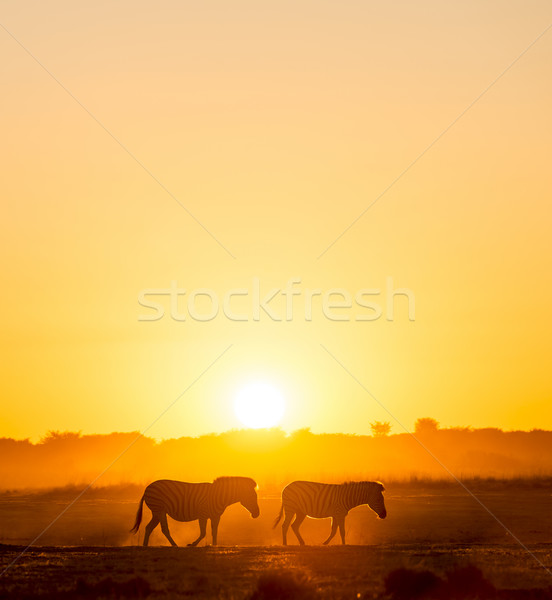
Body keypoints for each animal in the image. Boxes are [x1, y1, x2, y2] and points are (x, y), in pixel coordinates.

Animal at [130, 476, 260, 548]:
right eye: (253, 497)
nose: (257, 514)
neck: (219, 496)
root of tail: (147, 488)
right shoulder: (203, 515)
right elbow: (203, 533)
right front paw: (192, 544)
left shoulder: (216, 516)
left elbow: (214, 531)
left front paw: (215, 545)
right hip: (159, 509)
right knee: (164, 529)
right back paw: (174, 545)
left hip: (157, 512)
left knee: (149, 527)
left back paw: (145, 545)